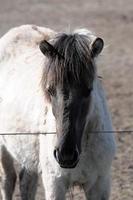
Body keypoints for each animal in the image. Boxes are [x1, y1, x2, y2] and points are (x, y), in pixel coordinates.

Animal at [0, 25, 115, 200]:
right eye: (50, 90)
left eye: (88, 90)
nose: (66, 155)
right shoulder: (55, 184)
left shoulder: (99, 184)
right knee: (7, 180)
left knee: (26, 182)